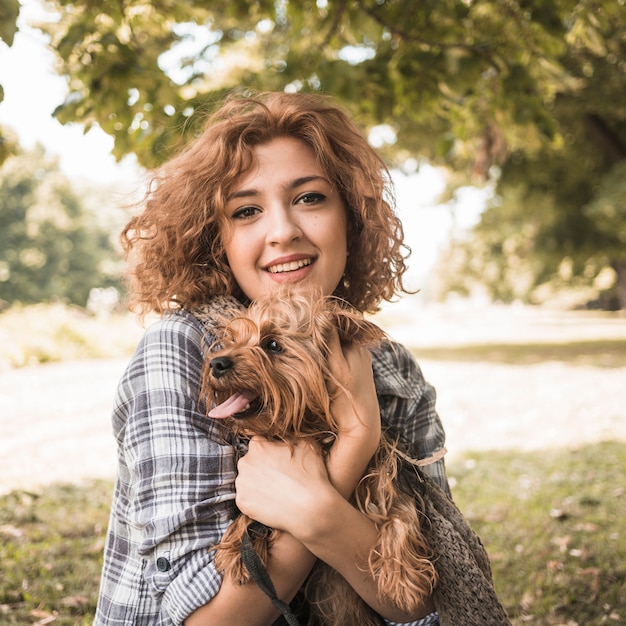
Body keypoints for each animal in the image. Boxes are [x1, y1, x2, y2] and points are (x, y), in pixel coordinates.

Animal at [202, 292, 436, 624]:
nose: (217, 362)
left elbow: (400, 513)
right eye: (232, 340)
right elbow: (249, 513)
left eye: (273, 344)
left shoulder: (386, 469)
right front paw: (236, 545)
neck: (314, 430)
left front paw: (403, 578)